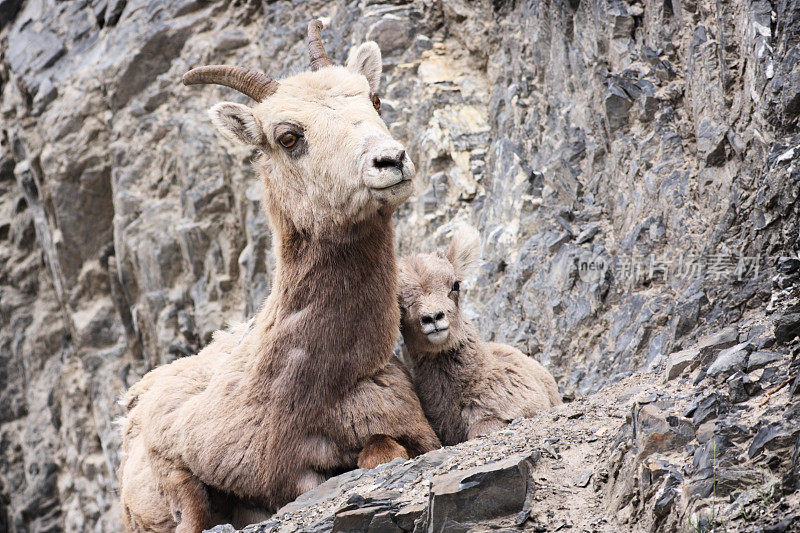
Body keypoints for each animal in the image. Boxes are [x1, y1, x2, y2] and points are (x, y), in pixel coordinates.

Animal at [118, 21, 440, 532]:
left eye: (374, 99)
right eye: (288, 137)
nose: (391, 160)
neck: (314, 389)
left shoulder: (408, 431)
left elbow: (382, 449)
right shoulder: (174, 455)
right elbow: (197, 505)